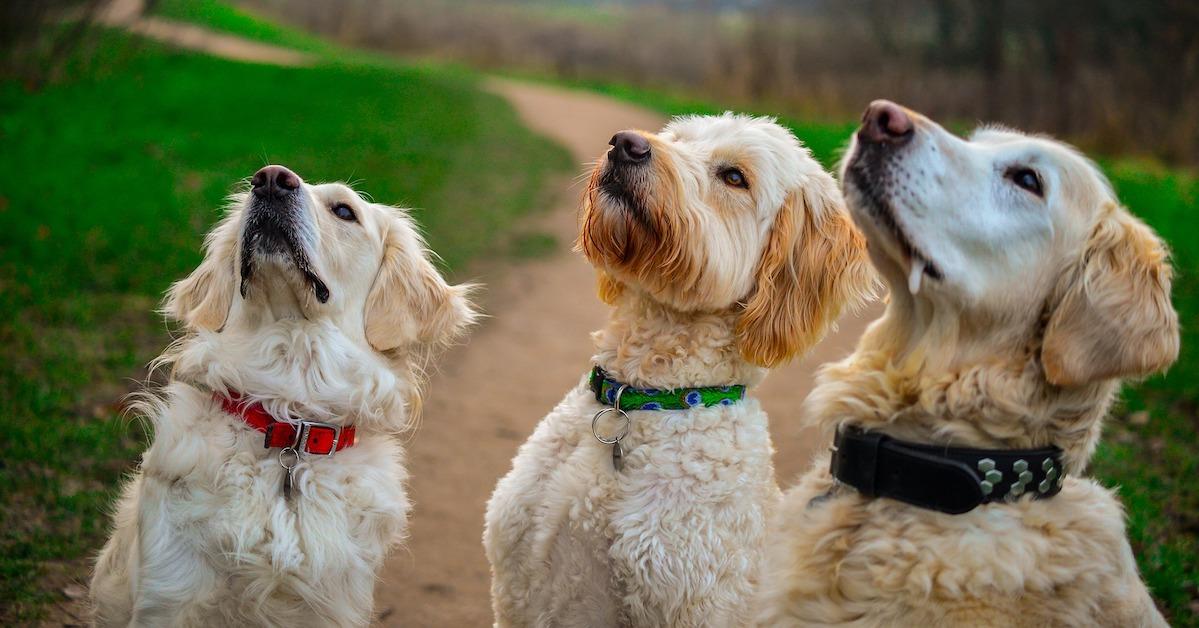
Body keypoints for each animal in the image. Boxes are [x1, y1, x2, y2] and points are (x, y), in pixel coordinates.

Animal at [484, 113, 872, 628]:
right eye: (677, 139)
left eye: (734, 177)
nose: (625, 145)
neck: (639, 399)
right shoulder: (516, 584)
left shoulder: (689, 602)